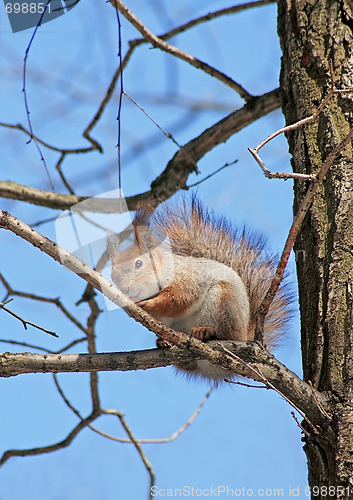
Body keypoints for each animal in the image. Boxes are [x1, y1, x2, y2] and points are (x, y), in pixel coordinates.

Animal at [106, 195, 290, 378]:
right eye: (113, 274)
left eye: (138, 264)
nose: (125, 288)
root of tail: (245, 335)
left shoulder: (187, 280)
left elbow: (178, 298)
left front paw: (150, 303)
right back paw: (165, 342)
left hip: (225, 303)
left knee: (225, 333)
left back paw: (205, 331)